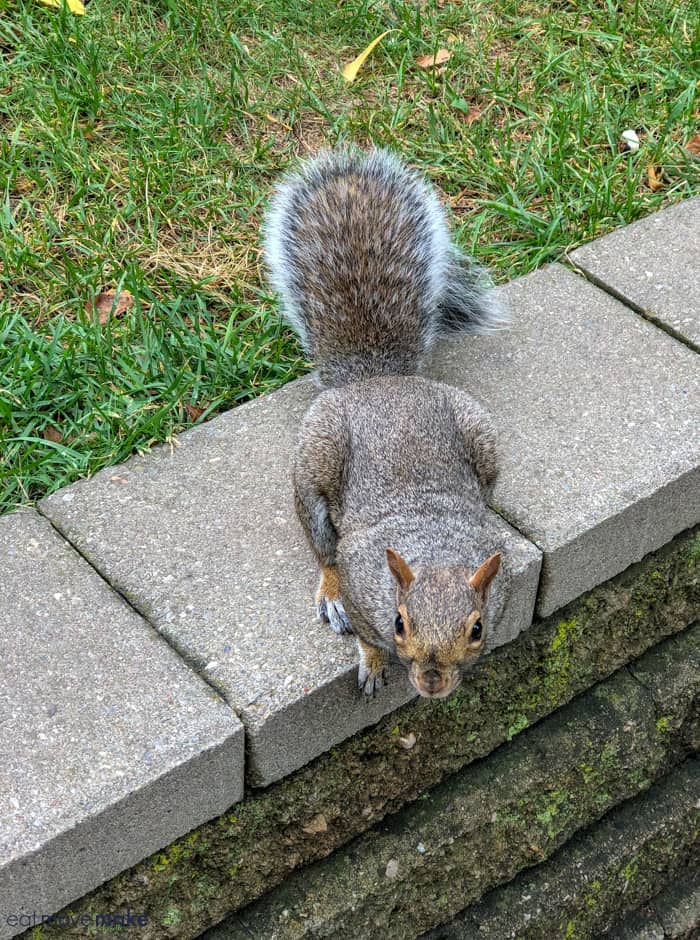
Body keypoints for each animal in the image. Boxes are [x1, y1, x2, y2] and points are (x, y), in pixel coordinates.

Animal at [262, 149, 508, 696]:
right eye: (399, 623)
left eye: (477, 629)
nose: (432, 683)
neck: (434, 552)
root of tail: (378, 379)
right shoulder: (362, 576)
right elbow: (363, 627)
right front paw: (373, 663)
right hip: (318, 455)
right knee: (321, 544)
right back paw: (328, 589)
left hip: (480, 433)